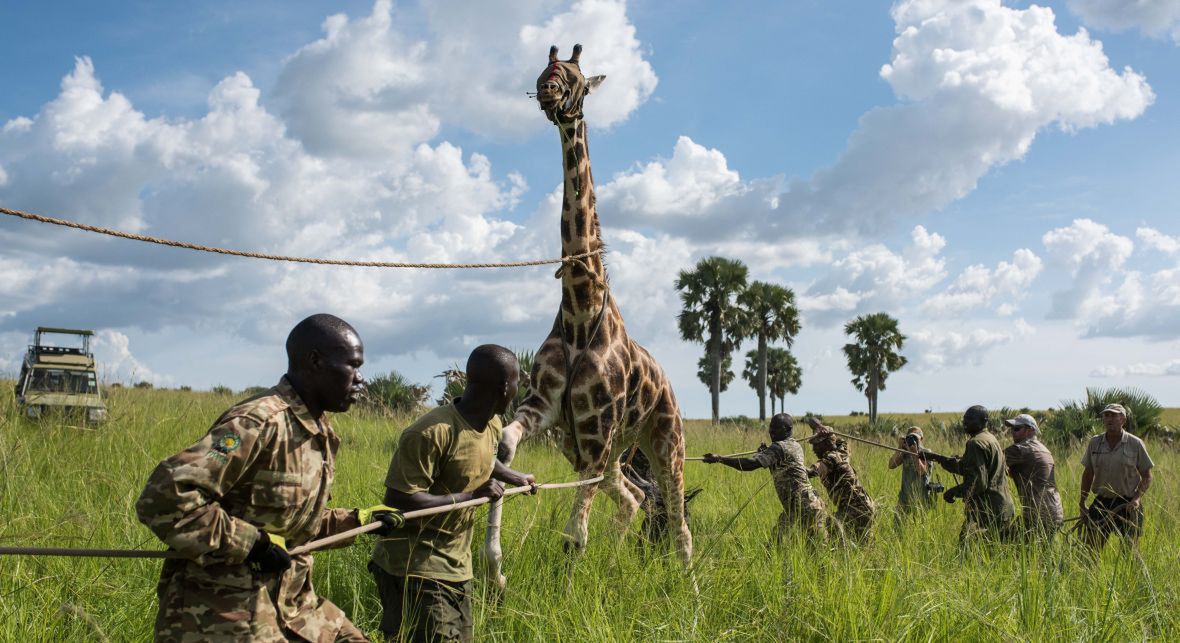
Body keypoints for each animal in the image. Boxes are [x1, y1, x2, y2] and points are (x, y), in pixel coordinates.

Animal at [483, 43, 693, 587]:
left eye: (576, 76)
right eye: (544, 66)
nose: (548, 89)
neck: (580, 309)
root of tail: (668, 383)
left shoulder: (595, 436)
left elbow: (573, 537)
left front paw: (566, 591)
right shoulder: (547, 408)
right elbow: (503, 450)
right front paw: (494, 566)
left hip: (664, 442)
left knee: (678, 523)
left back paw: (691, 593)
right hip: (615, 452)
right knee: (635, 498)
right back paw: (618, 566)